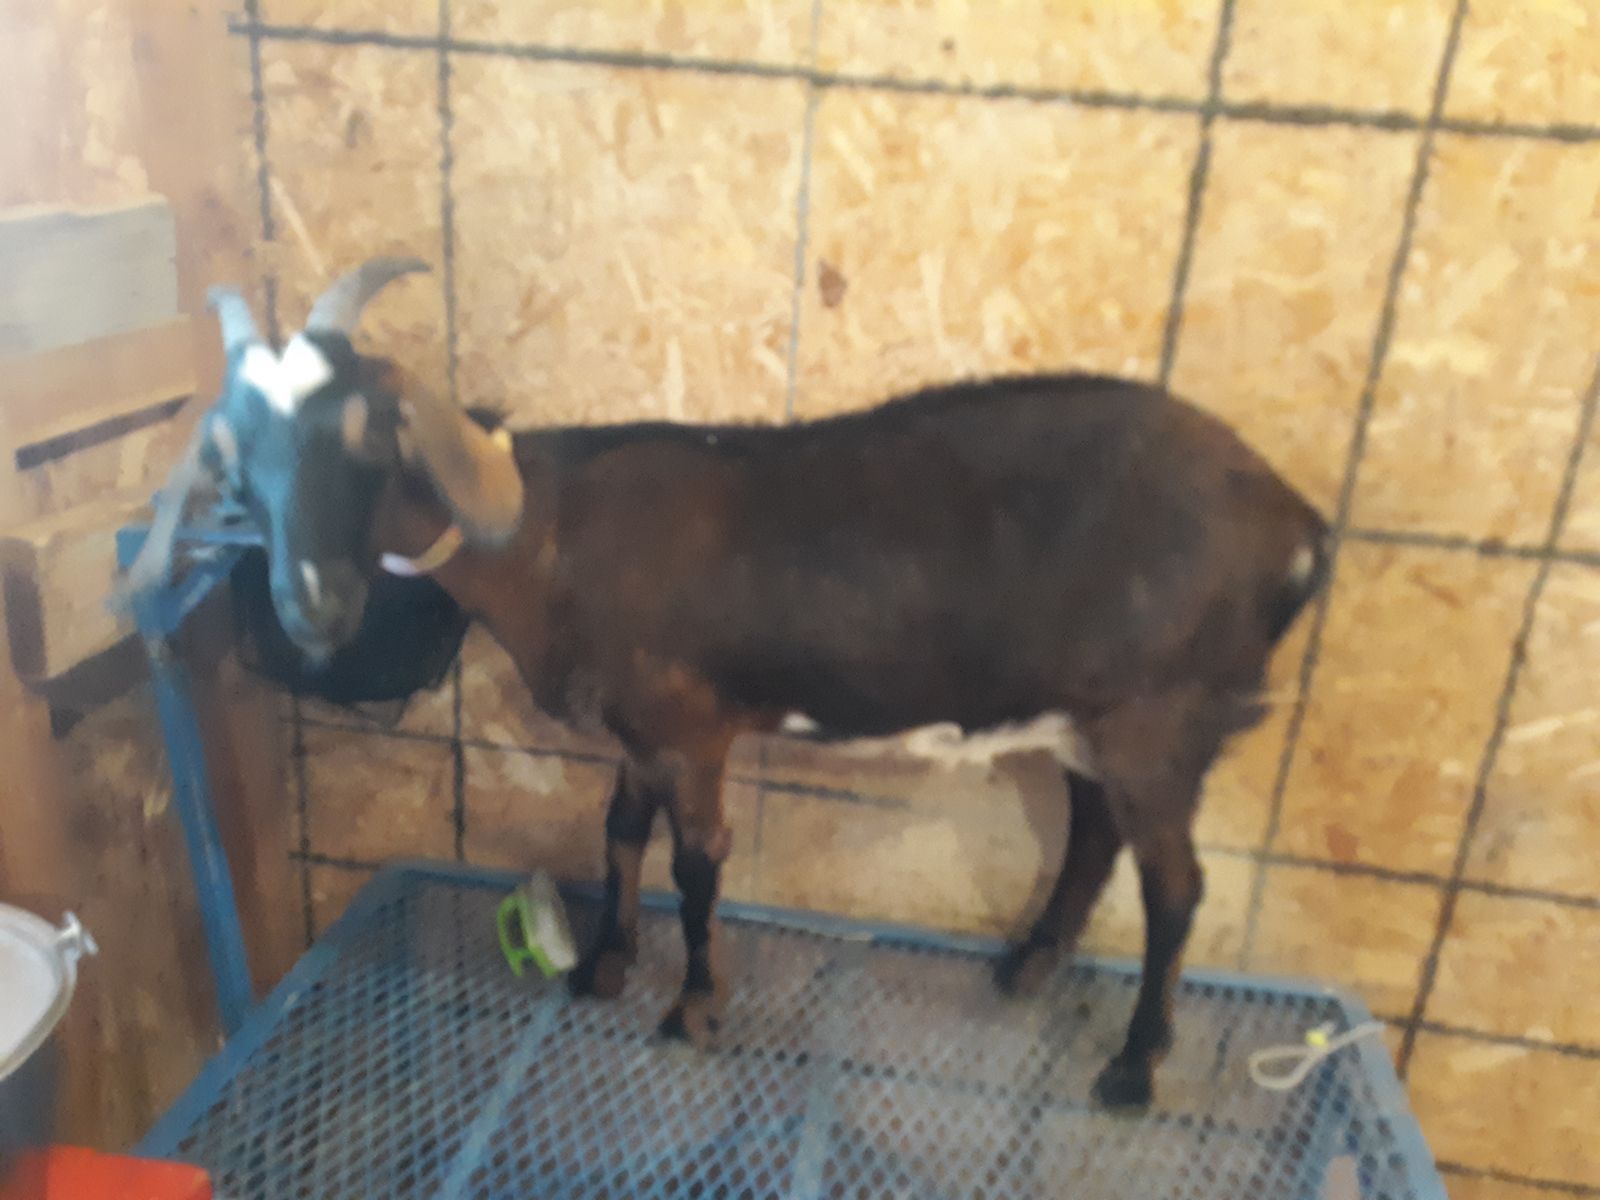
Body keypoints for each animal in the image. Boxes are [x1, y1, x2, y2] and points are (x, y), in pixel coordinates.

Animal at [123, 258, 1330, 1108]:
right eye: (232, 456)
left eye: (371, 432)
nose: (312, 607)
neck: (554, 538)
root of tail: (1296, 523)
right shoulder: (641, 731)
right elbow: (619, 834)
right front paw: (604, 968)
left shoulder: (692, 728)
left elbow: (698, 866)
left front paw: (692, 1010)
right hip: (1088, 717)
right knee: (1092, 832)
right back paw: (1029, 968)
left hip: (1159, 719)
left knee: (1177, 889)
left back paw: (1132, 1070)